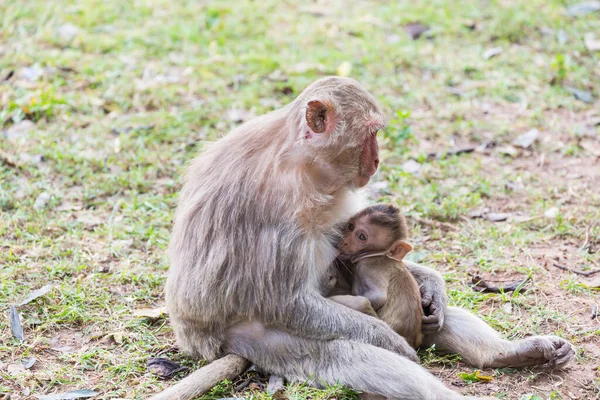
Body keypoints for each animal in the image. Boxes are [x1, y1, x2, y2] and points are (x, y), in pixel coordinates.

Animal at [332, 205, 422, 348]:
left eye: (362, 237)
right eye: (351, 227)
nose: (344, 241)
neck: (377, 254)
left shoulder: (368, 268)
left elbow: (378, 296)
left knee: (362, 302)